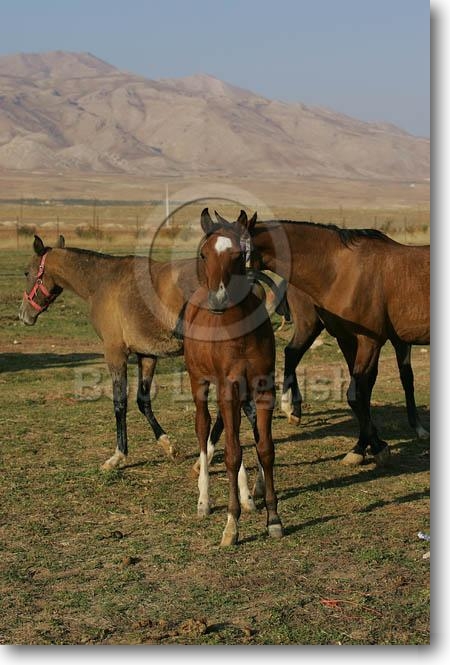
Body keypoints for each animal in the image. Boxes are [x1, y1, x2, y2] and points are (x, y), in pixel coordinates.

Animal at [183, 209, 283, 546]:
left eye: (239, 255)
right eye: (204, 253)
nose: (218, 300)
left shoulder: (263, 390)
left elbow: (264, 449)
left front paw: (273, 519)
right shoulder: (227, 388)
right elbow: (231, 453)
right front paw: (231, 525)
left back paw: (245, 497)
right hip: (199, 382)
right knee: (204, 429)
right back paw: (203, 501)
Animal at [279, 284, 429, 440]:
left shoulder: (400, 339)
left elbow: (406, 377)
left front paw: (419, 428)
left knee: (293, 354)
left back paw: (295, 412)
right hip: (308, 325)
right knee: (291, 353)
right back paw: (290, 409)